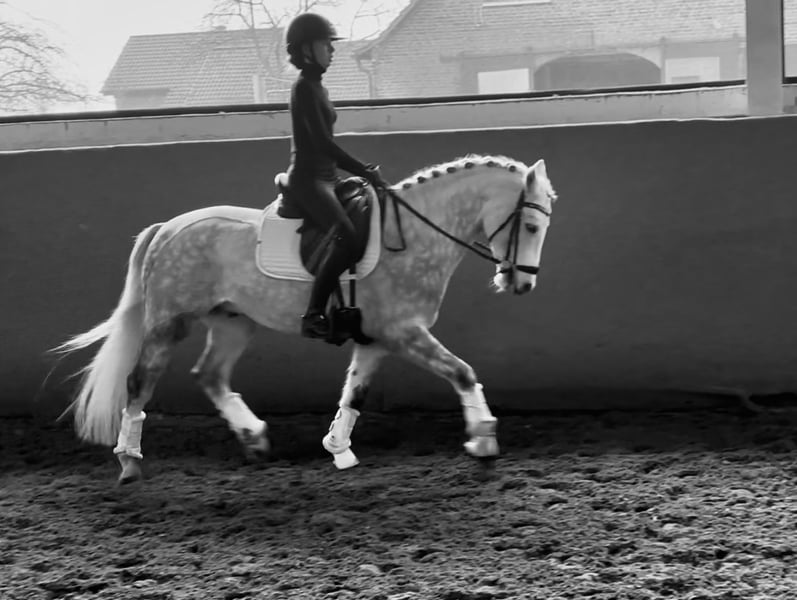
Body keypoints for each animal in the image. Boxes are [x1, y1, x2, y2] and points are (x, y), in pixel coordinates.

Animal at [54, 154, 558, 485]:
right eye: (532, 226)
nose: (522, 284)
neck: (413, 236)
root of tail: (168, 228)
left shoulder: (376, 340)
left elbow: (354, 393)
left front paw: (338, 449)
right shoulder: (404, 333)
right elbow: (463, 373)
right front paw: (484, 441)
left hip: (233, 321)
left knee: (210, 374)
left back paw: (254, 438)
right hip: (169, 322)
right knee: (139, 382)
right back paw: (129, 461)